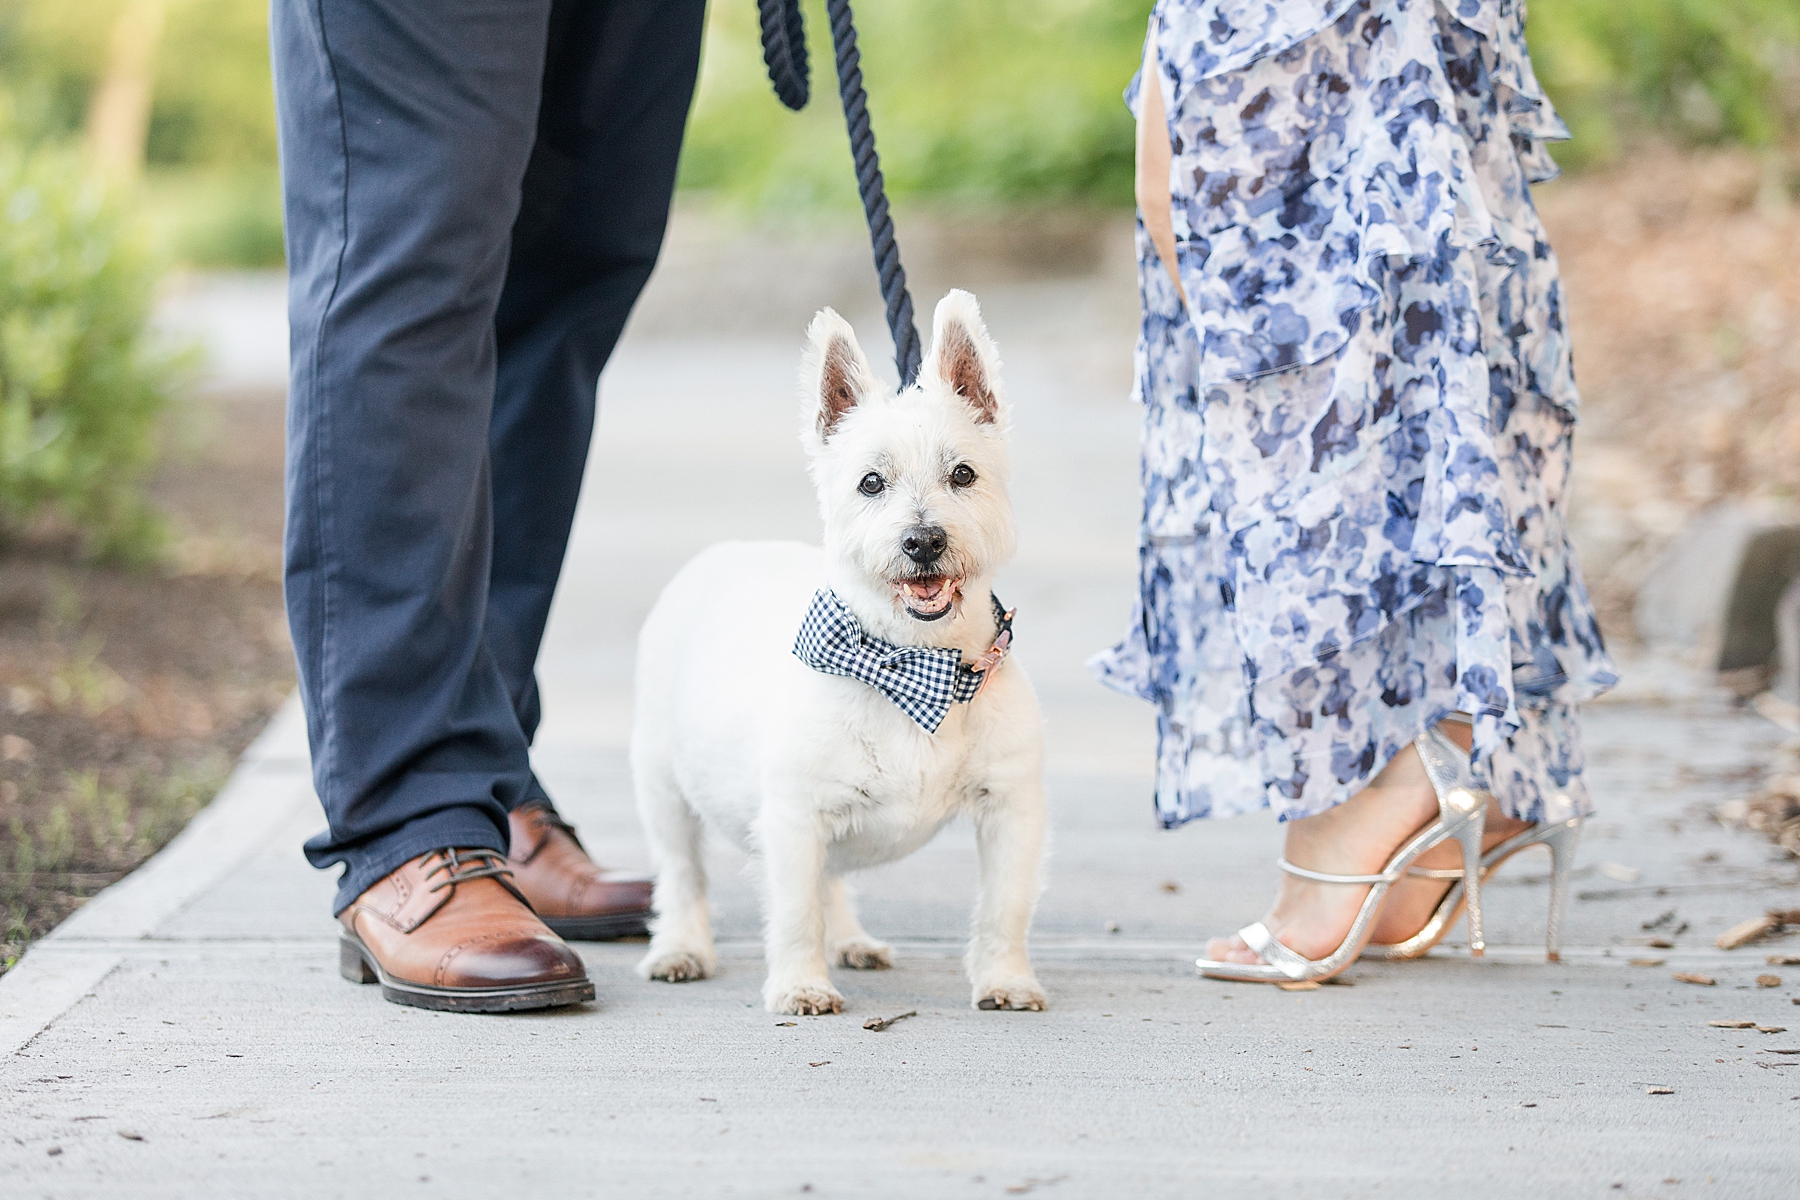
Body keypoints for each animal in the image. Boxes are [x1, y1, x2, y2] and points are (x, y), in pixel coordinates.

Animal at [637, 287, 1051, 1014]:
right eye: (870, 483)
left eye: (963, 473)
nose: (923, 541)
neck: (914, 663)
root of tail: (725, 552)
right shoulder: (794, 819)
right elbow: (794, 911)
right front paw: (800, 987)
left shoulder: (1011, 807)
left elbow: (1006, 905)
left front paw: (1005, 981)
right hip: (663, 783)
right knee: (683, 874)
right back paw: (681, 950)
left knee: (830, 881)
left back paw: (853, 941)